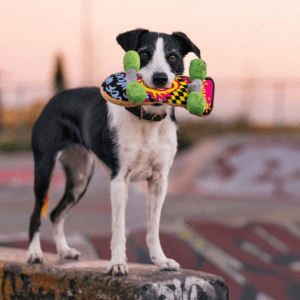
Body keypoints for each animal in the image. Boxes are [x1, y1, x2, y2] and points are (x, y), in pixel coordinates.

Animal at [28, 29, 200, 276]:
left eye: (173, 56)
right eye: (144, 53)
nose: (160, 78)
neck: (147, 118)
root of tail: (53, 99)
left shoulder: (159, 181)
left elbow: (153, 226)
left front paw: (161, 260)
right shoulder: (119, 180)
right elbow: (119, 227)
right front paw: (117, 263)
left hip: (80, 177)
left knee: (55, 213)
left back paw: (64, 251)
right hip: (44, 170)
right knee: (36, 214)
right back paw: (34, 253)